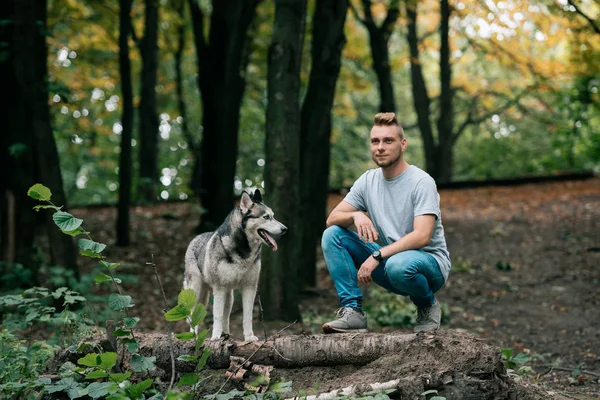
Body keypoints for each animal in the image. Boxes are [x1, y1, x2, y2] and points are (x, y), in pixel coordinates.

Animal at [183, 189, 286, 340]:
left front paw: (249, 337)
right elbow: (217, 316)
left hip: (229, 296)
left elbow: (247, 316)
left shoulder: (249, 287)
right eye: (266, 217)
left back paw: (226, 335)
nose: (285, 229)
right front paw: (215, 338)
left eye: (273, 216)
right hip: (196, 291)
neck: (243, 252)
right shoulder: (219, 288)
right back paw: (193, 337)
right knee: (193, 315)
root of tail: (194, 238)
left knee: (226, 316)